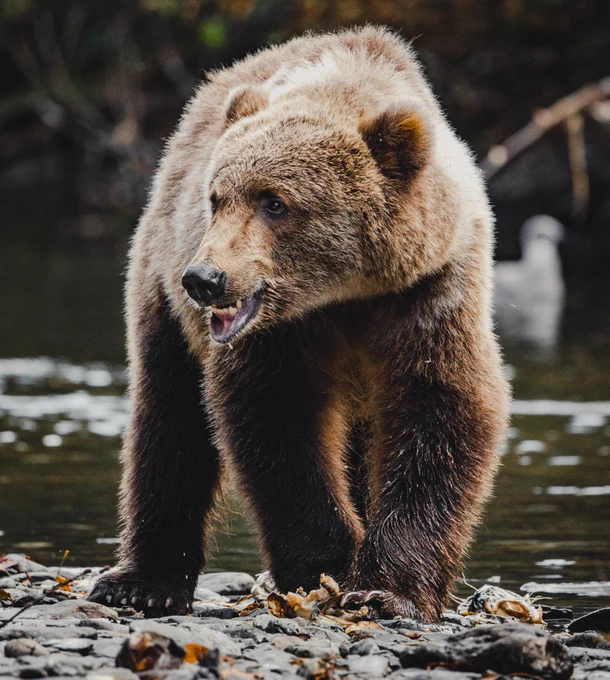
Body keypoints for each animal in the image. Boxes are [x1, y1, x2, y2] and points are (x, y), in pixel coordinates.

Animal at [88, 25, 510, 622]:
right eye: (217, 198)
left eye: (274, 202)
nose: (205, 278)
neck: (346, 295)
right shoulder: (280, 332)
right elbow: (279, 423)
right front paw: (325, 565)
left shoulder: (430, 292)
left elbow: (441, 409)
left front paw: (387, 591)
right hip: (161, 286)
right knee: (169, 416)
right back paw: (141, 582)